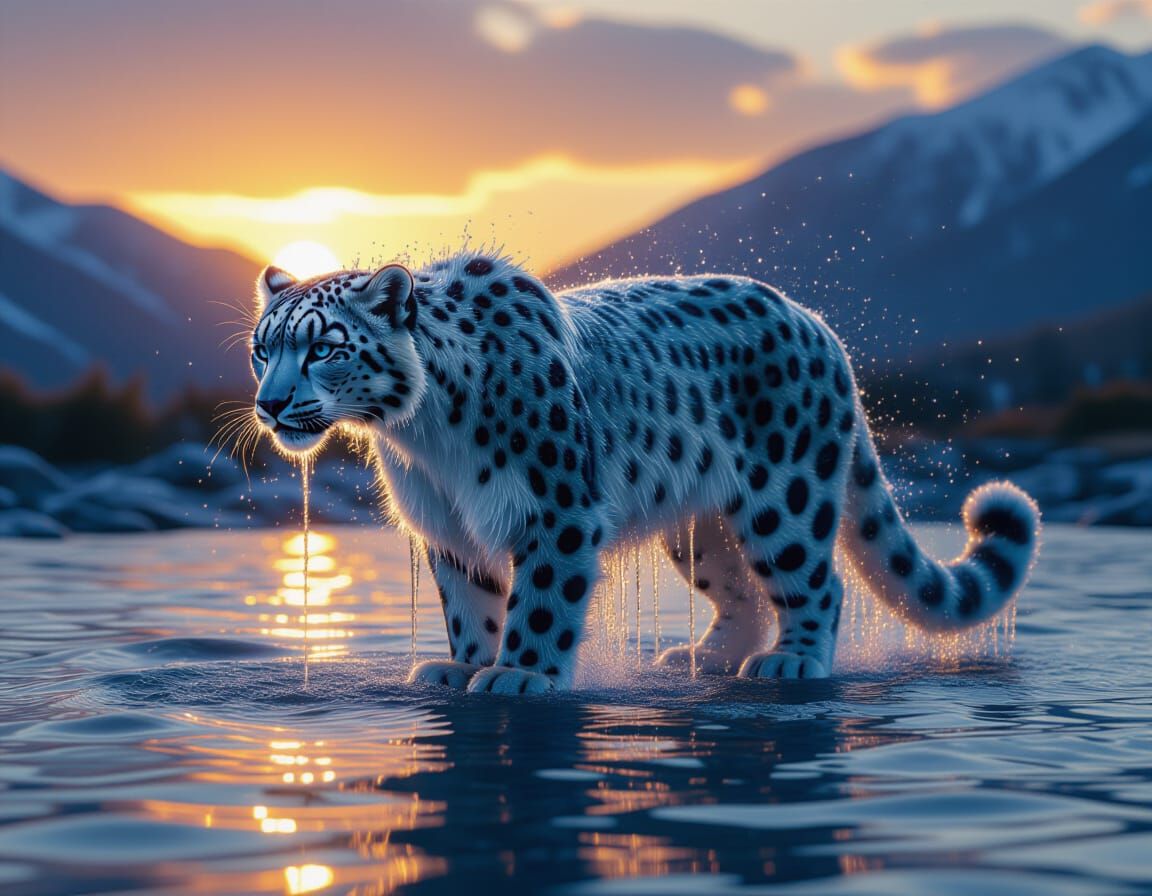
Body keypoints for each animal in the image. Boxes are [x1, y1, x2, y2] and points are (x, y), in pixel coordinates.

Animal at [248, 251, 1040, 694]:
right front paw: (464, 666)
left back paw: (793, 662)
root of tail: (820, 325)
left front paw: (521, 674)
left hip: (784, 496)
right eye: (263, 348)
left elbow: (541, 601)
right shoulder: (447, 523)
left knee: (818, 580)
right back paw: (705, 657)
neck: (425, 440)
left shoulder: (556, 507)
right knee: (741, 591)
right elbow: (471, 604)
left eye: (323, 348)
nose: (270, 403)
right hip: (700, 523)